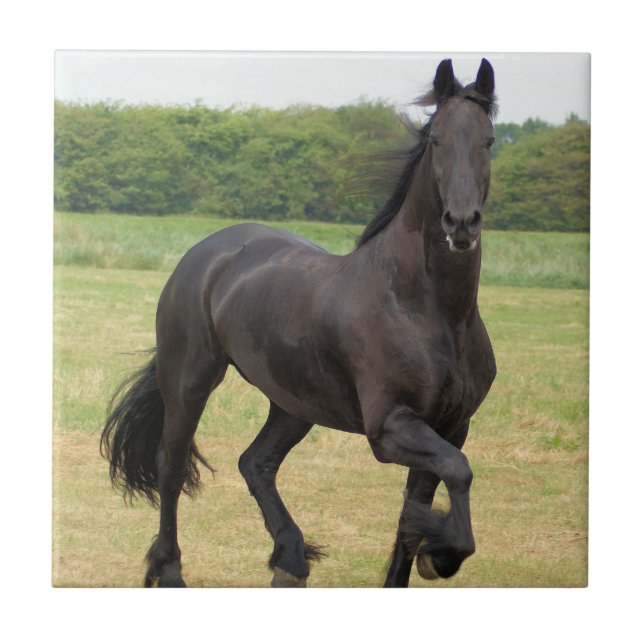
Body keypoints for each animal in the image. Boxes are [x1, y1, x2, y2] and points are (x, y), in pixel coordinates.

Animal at [100, 58, 498, 588]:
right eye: (436, 139)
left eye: (489, 141)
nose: (461, 223)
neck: (428, 311)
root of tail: (206, 252)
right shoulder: (390, 428)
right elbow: (459, 472)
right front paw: (443, 556)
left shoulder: (452, 427)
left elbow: (413, 514)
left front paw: (431, 552)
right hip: (190, 379)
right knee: (172, 465)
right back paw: (170, 571)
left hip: (292, 402)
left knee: (256, 463)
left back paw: (289, 560)